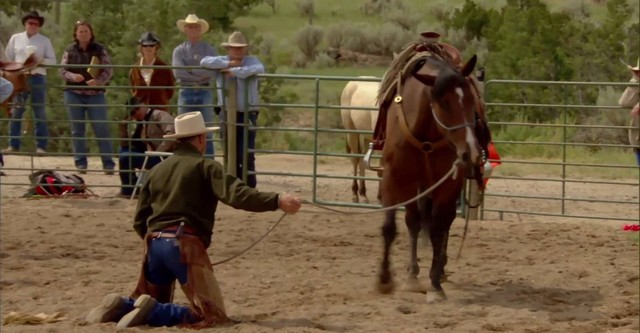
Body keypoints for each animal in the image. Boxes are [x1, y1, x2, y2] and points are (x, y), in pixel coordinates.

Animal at [378, 53, 482, 300]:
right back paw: (413, 273)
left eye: (471, 100)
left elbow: (437, 229)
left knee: (445, 223)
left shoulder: (448, 184)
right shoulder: (394, 179)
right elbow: (392, 227)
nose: (470, 152)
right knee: (415, 222)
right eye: (443, 102)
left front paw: (435, 284)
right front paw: (386, 279)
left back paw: (440, 270)